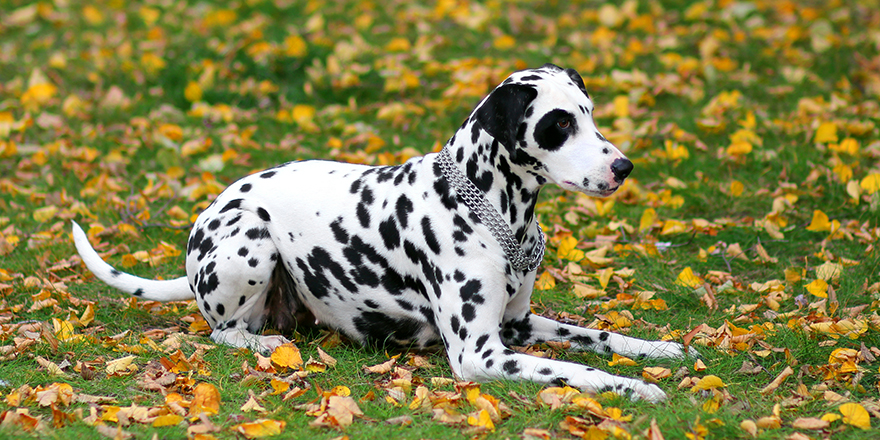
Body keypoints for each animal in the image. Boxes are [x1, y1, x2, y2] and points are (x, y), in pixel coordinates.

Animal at [74, 62, 696, 402]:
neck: (495, 211)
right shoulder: (480, 354)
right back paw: (262, 342)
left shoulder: (517, 326)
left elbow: (598, 336)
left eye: (588, 113)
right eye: (559, 124)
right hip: (250, 244)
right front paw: (633, 388)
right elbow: (572, 369)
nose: (624, 167)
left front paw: (658, 349)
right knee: (224, 332)